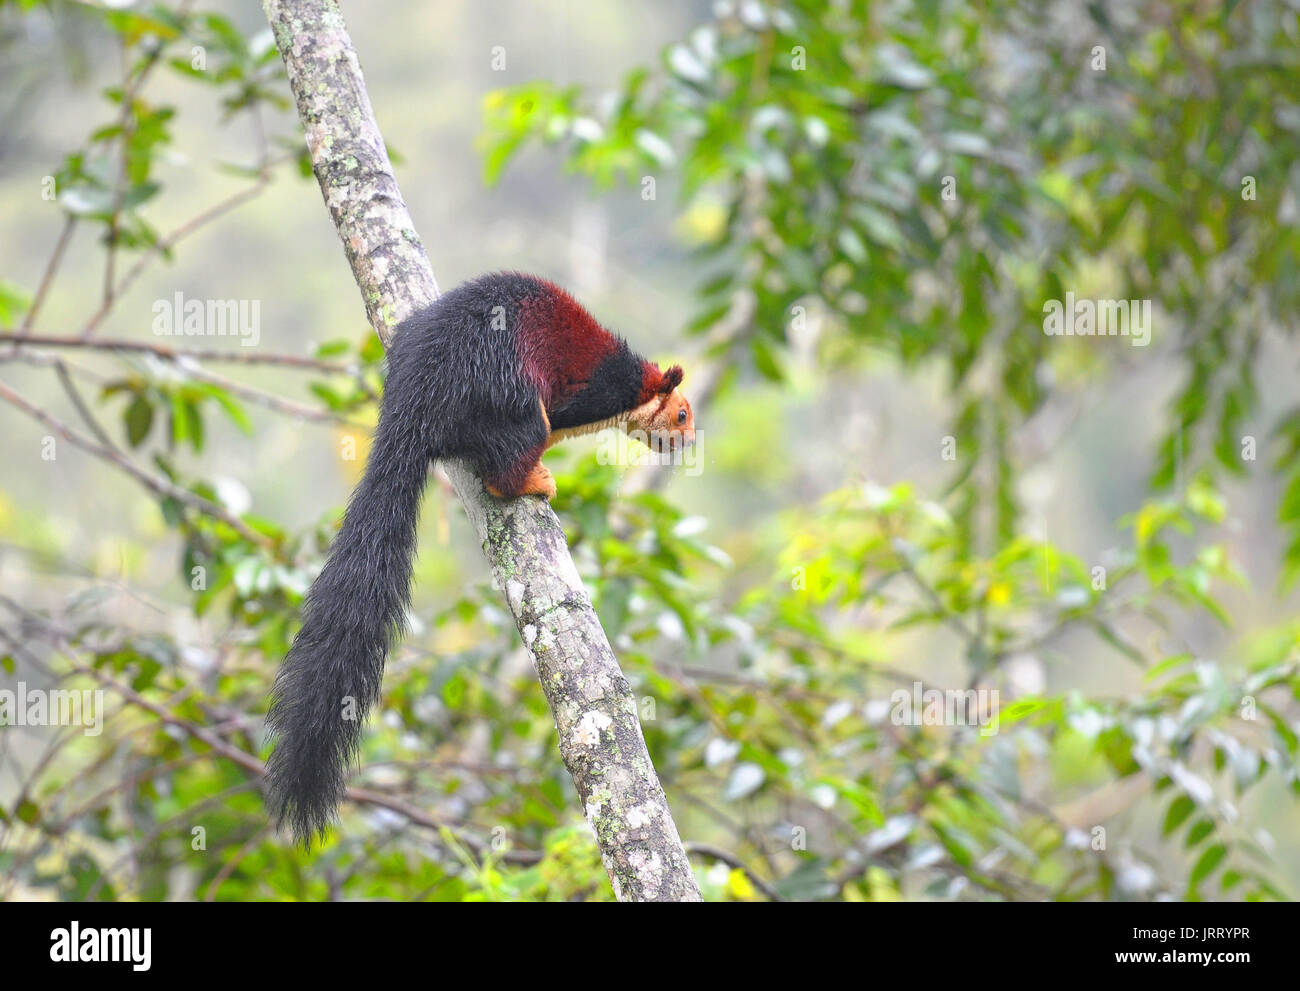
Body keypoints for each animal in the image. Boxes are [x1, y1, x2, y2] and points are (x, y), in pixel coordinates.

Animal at [261, 271, 691, 842]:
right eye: (682, 414)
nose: (688, 444)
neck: (633, 385)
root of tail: (413, 403)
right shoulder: (591, 393)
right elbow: (562, 420)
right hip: (511, 398)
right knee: (508, 463)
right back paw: (534, 479)